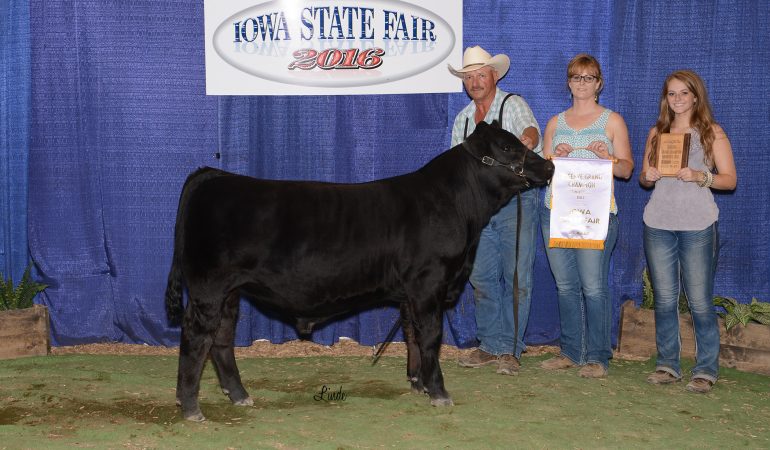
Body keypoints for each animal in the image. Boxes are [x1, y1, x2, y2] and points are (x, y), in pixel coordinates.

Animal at [166, 120, 552, 422]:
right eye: (508, 146)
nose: (548, 167)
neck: (457, 208)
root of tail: (213, 175)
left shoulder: (411, 293)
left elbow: (412, 335)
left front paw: (418, 384)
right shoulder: (430, 284)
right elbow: (430, 337)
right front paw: (440, 393)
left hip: (229, 293)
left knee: (221, 339)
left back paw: (239, 395)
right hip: (208, 288)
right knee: (196, 338)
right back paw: (191, 407)